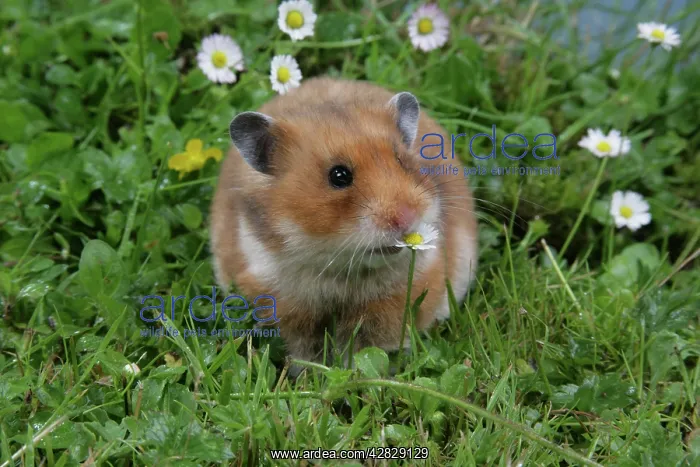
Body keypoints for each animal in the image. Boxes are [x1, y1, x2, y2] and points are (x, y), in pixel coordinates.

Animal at [210, 77, 478, 364]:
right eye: (339, 175)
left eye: (401, 160)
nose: (408, 216)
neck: (339, 269)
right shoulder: (283, 302)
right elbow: (303, 348)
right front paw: (310, 371)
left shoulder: (395, 302)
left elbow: (369, 345)